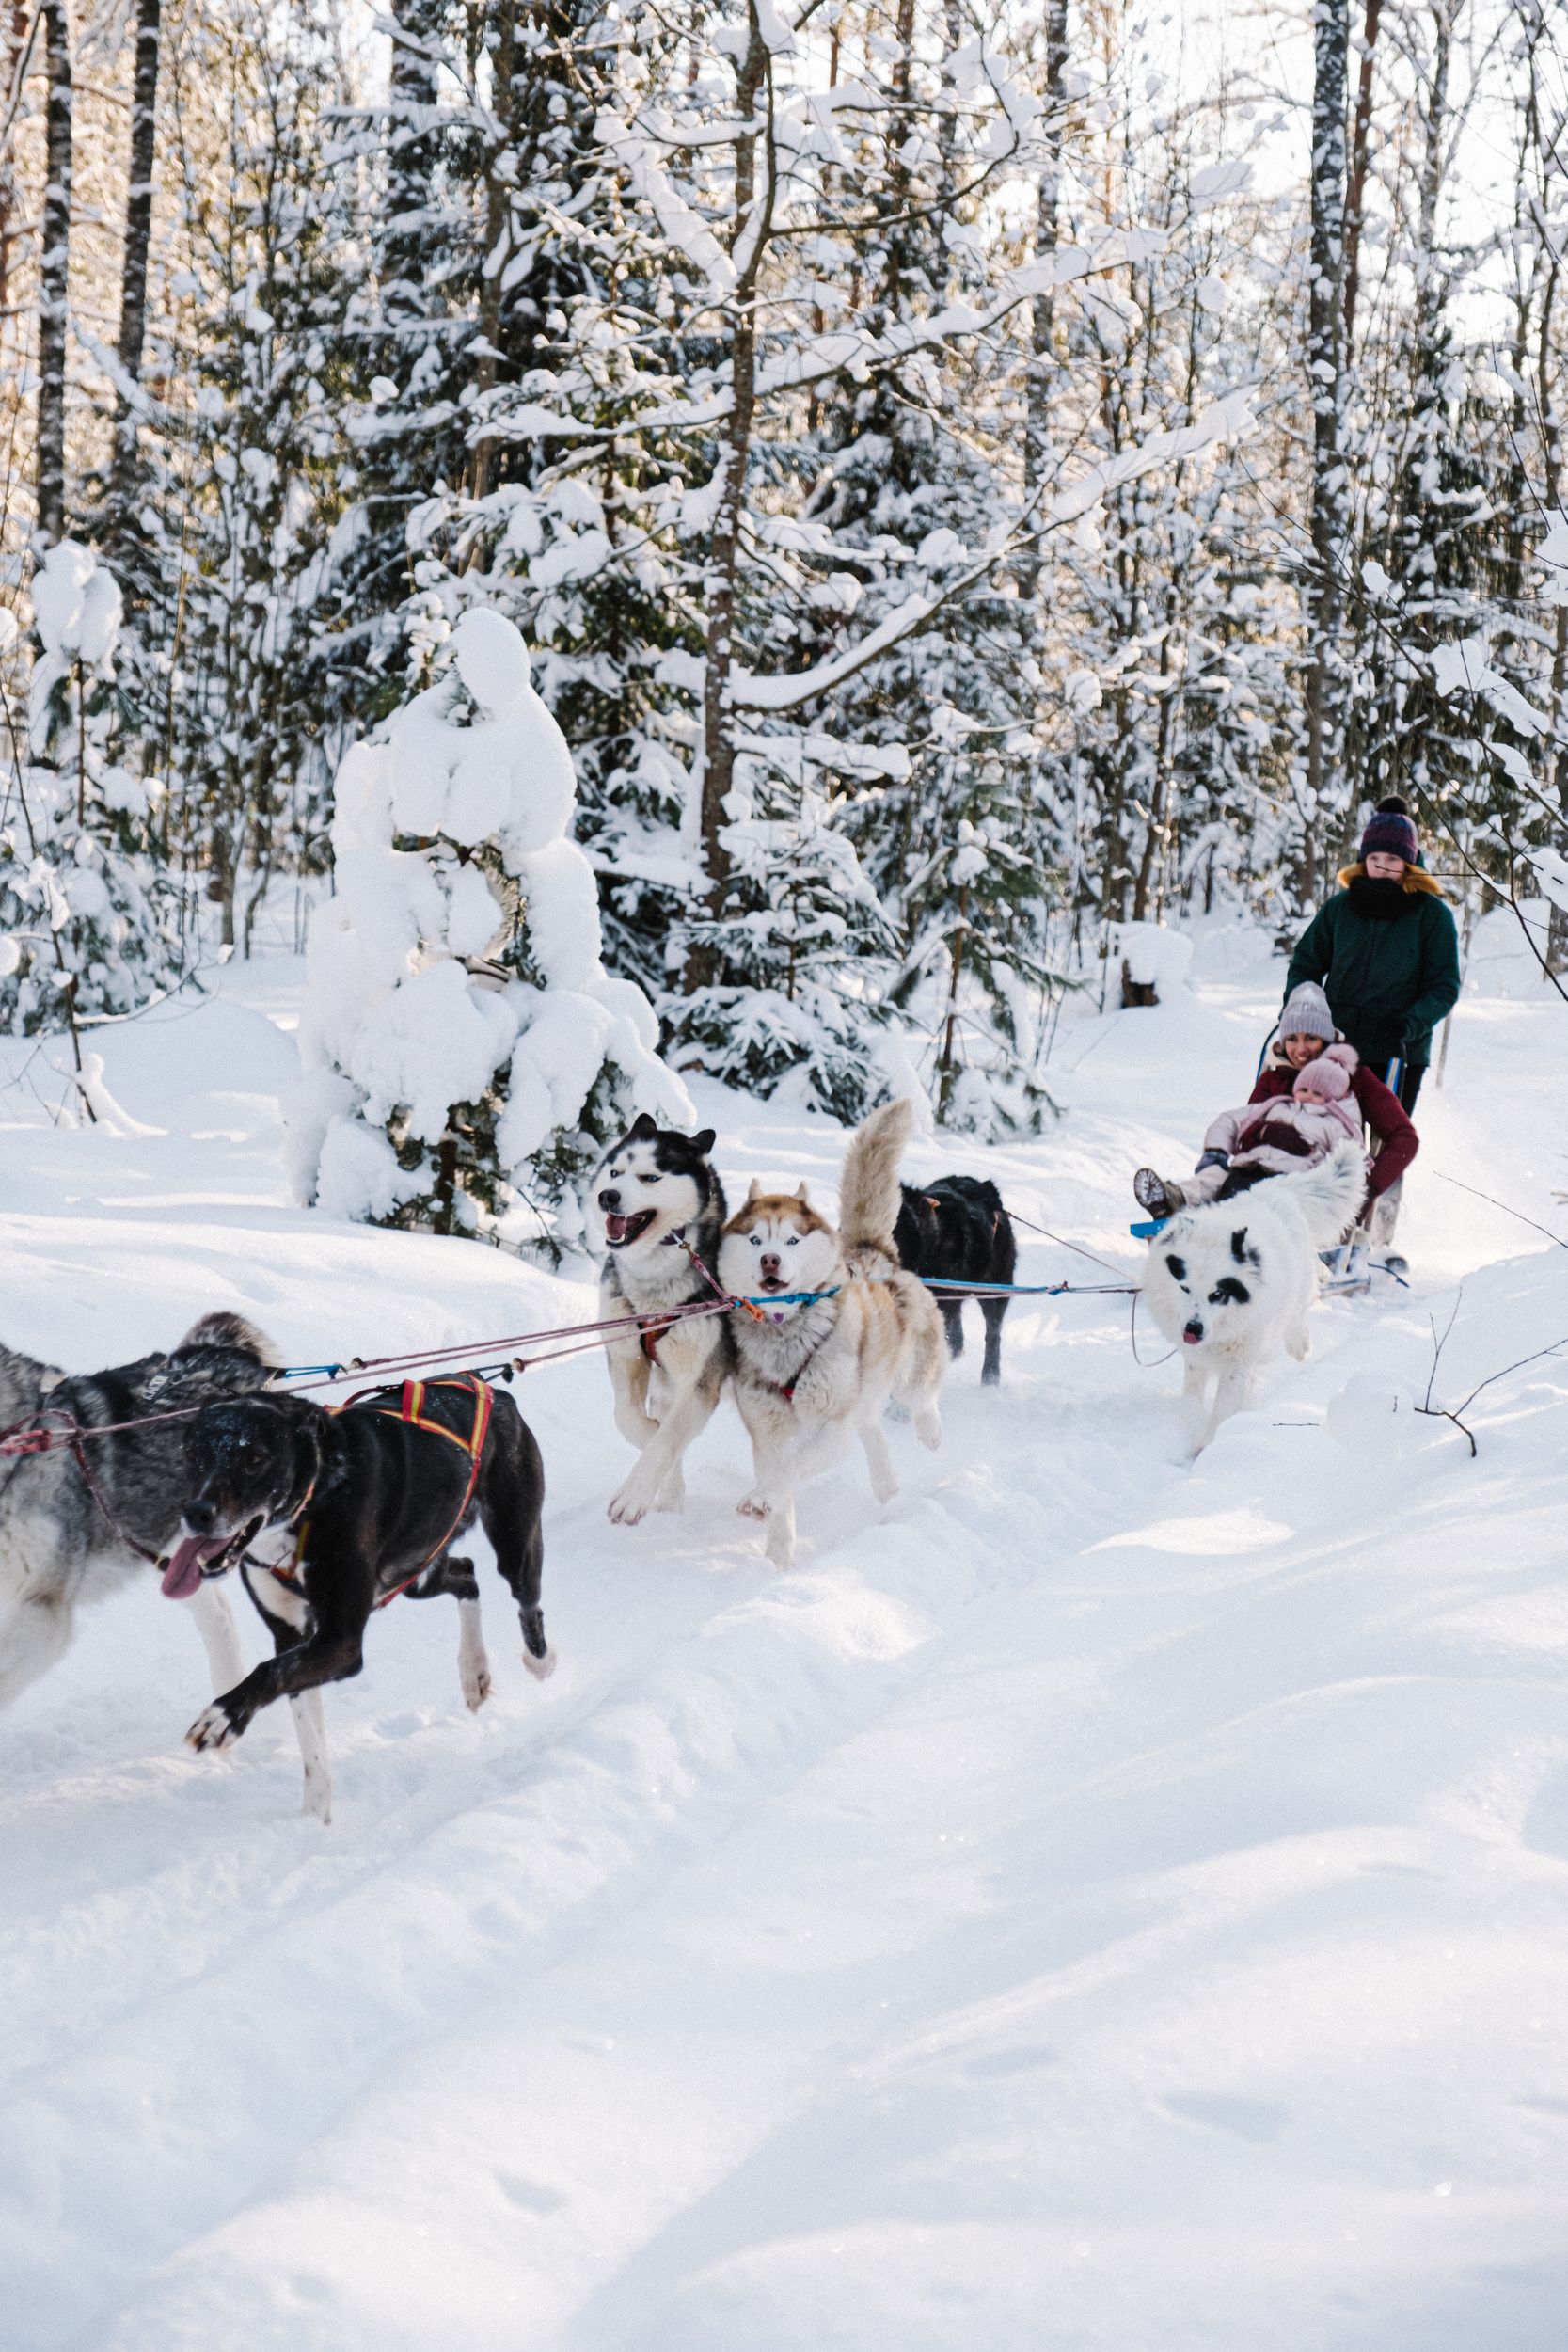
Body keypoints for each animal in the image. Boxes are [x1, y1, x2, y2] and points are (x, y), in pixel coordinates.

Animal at [1142, 1138, 1363, 1449]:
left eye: (1218, 1294)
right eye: (1184, 1288)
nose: (1193, 1329)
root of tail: (1277, 1188)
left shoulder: (1239, 1360)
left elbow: (1223, 1408)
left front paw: (1206, 1448)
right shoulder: (1196, 1360)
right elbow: (1194, 1393)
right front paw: (1188, 1423)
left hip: (1295, 1289)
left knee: (1296, 1315)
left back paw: (1300, 1346)